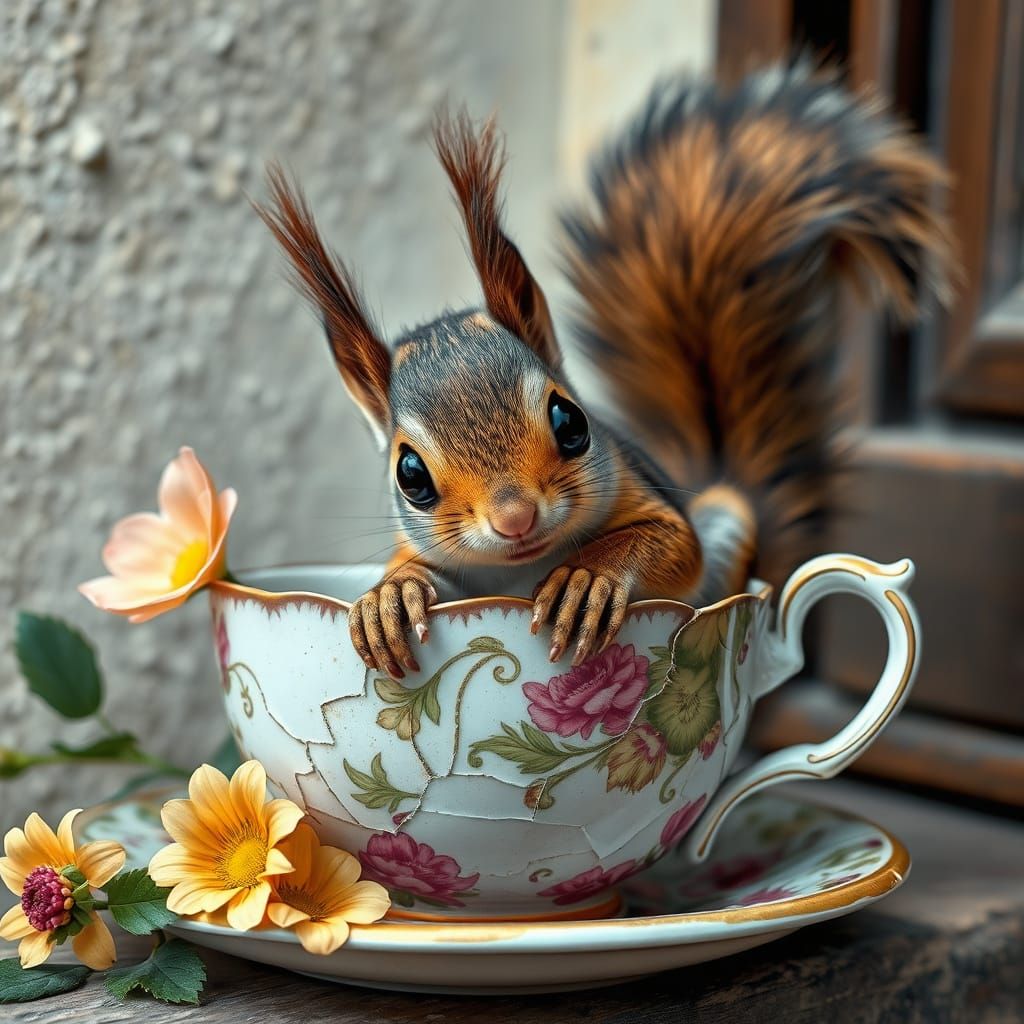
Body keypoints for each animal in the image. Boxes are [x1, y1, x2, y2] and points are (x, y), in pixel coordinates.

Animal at [254, 62, 952, 681]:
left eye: (571, 421)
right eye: (410, 476)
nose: (515, 519)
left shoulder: (655, 503)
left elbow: (675, 545)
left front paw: (587, 579)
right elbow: (411, 570)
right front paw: (388, 597)